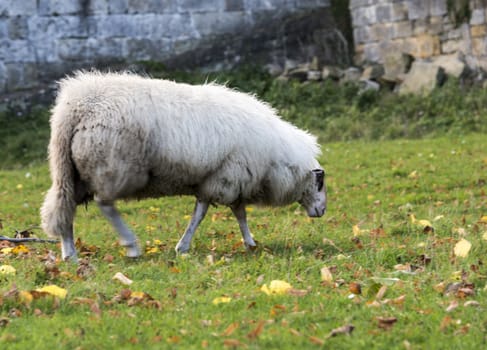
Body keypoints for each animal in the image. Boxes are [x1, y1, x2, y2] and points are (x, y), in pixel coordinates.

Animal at [39, 72, 328, 262]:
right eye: (320, 183)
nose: (322, 211)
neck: (278, 158)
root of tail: (76, 106)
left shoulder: (223, 180)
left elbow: (229, 212)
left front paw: (247, 242)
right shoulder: (227, 178)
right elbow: (216, 213)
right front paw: (187, 246)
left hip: (71, 171)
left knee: (65, 207)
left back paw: (69, 253)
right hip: (112, 166)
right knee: (105, 204)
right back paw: (131, 246)